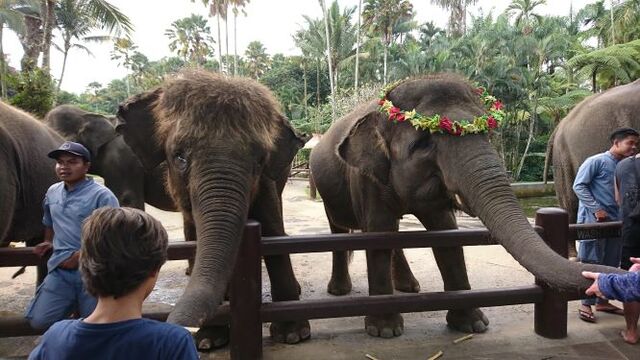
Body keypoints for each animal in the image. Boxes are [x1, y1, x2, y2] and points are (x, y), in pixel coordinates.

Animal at [115, 70, 310, 348]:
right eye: (179, 156)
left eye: (260, 161)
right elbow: (197, 236)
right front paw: (208, 341)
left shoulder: (267, 182)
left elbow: (273, 229)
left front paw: (293, 335)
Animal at [308, 74, 624, 338]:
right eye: (422, 142)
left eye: (487, 132)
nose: (618, 274)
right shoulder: (365, 178)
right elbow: (378, 233)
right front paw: (385, 331)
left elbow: (446, 234)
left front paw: (473, 325)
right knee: (341, 230)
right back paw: (340, 291)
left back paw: (410, 287)